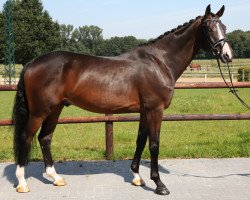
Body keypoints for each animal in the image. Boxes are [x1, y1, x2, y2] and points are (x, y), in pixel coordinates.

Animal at [12, 5, 232, 195]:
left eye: (224, 27)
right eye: (209, 28)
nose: (227, 55)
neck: (160, 62)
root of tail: (31, 63)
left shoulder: (145, 111)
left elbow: (140, 141)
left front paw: (137, 177)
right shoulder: (155, 110)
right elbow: (154, 144)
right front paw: (159, 184)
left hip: (55, 109)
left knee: (45, 138)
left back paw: (55, 177)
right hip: (39, 112)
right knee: (25, 137)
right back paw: (22, 183)